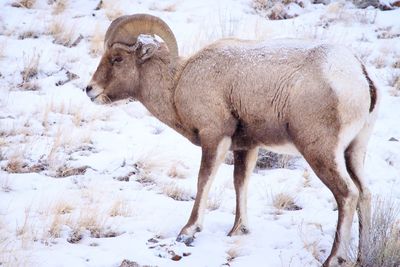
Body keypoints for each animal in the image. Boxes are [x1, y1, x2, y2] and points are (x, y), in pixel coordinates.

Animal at [86, 15, 378, 267]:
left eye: (117, 58)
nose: (89, 90)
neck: (178, 83)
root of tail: (359, 74)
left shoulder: (214, 137)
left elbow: (204, 180)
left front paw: (188, 231)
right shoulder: (245, 147)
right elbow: (241, 183)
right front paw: (238, 230)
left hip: (321, 152)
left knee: (347, 194)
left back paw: (333, 259)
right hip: (354, 152)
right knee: (364, 193)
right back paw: (362, 256)